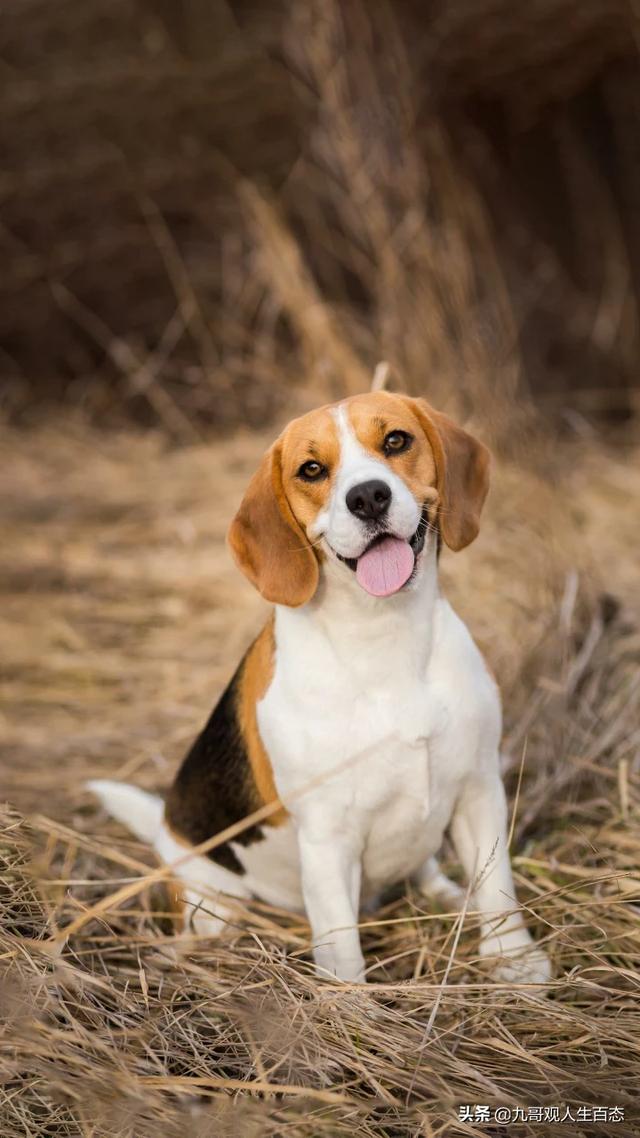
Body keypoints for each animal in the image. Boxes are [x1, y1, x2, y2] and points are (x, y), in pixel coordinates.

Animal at [89, 396, 548, 983]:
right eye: (311, 469)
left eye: (396, 440)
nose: (368, 496)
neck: (385, 637)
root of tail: (166, 825)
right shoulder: (328, 838)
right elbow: (342, 945)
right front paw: (351, 1002)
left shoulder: (479, 789)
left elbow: (498, 887)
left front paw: (514, 960)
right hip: (209, 898)